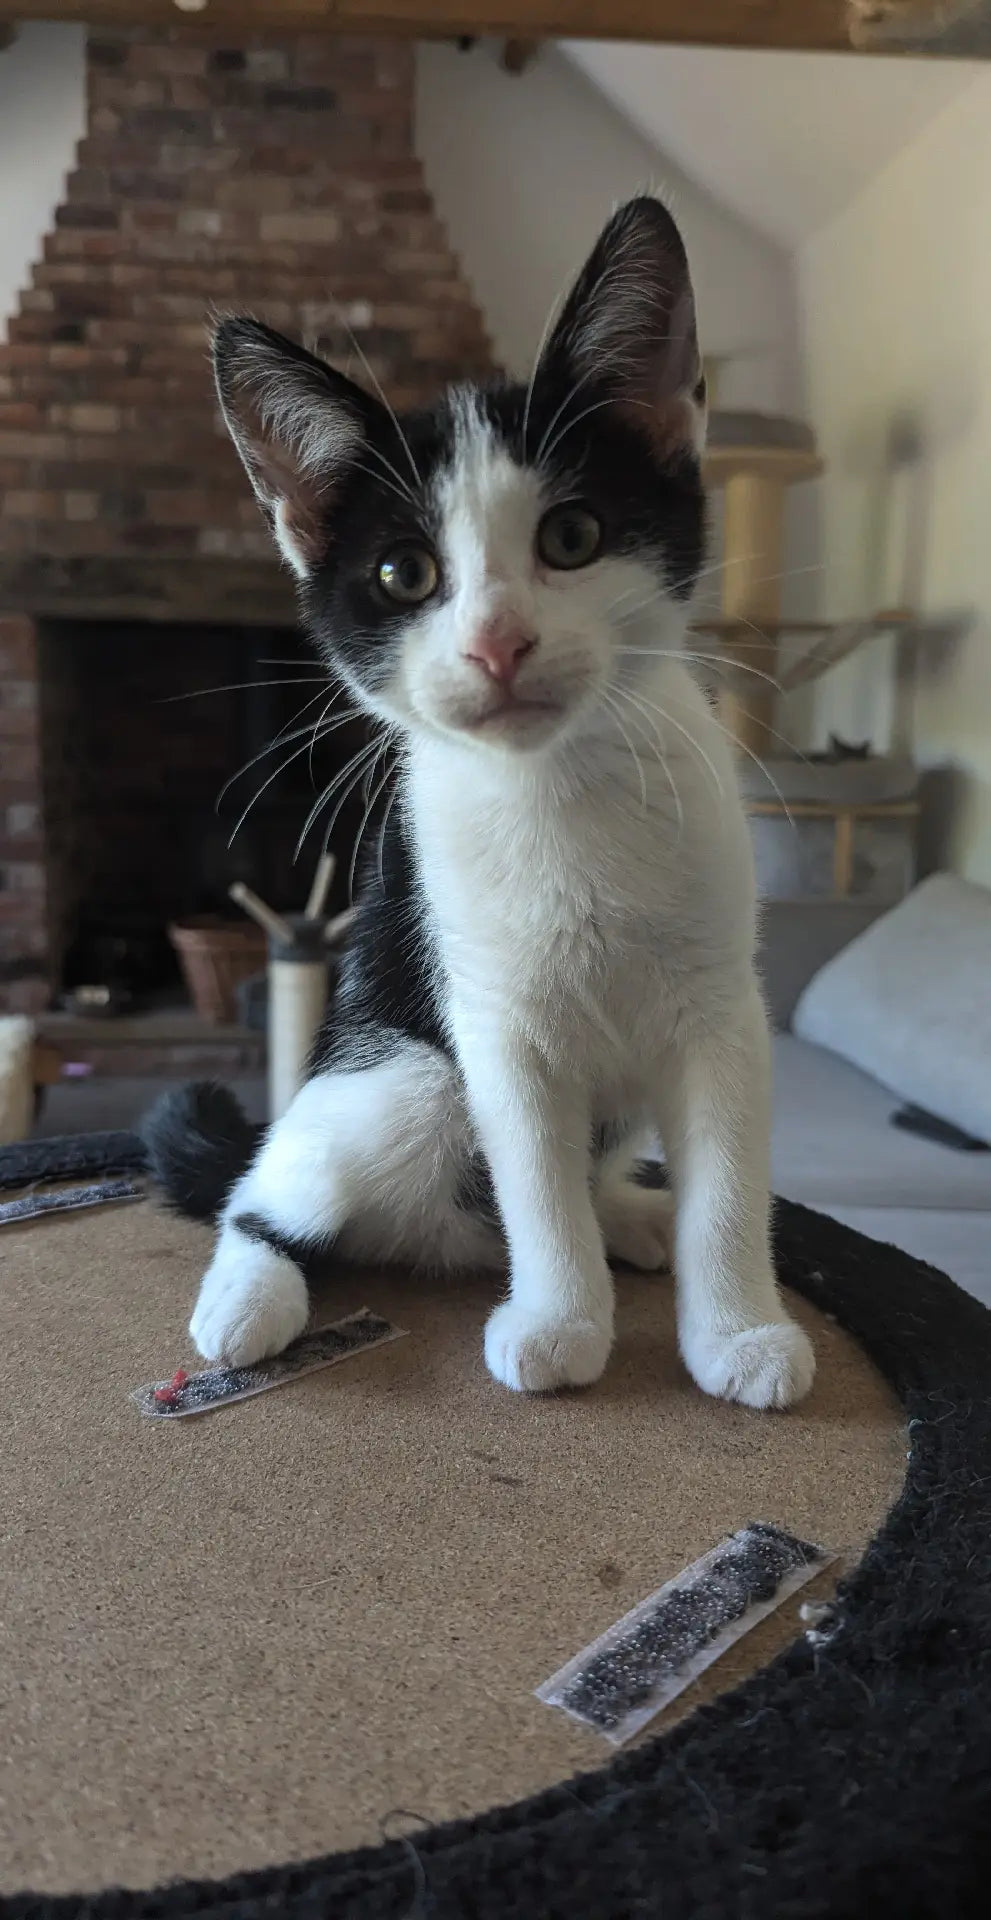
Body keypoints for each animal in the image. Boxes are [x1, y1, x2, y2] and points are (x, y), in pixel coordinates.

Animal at [146, 198, 814, 1413]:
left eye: (572, 537)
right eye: (404, 575)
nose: (498, 642)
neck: (560, 789)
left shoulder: (723, 1003)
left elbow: (731, 1175)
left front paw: (739, 1328)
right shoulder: (492, 1015)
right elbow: (533, 1179)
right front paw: (560, 1323)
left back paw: (630, 1210)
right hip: (401, 1077)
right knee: (264, 1194)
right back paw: (247, 1300)